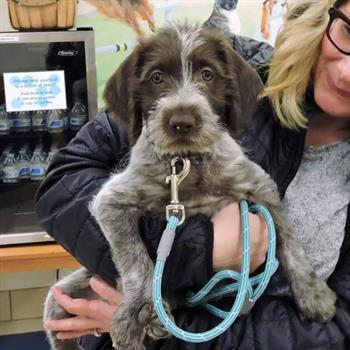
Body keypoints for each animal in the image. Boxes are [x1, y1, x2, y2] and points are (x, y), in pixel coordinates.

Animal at [43, 23, 336, 350]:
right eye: (156, 78)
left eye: (207, 75)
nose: (181, 121)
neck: (187, 164)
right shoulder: (111, 201)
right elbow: (134, 258)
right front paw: (141, 305)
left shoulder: (261, 189)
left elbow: (288, 241)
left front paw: (312, 292)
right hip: (60, 301)